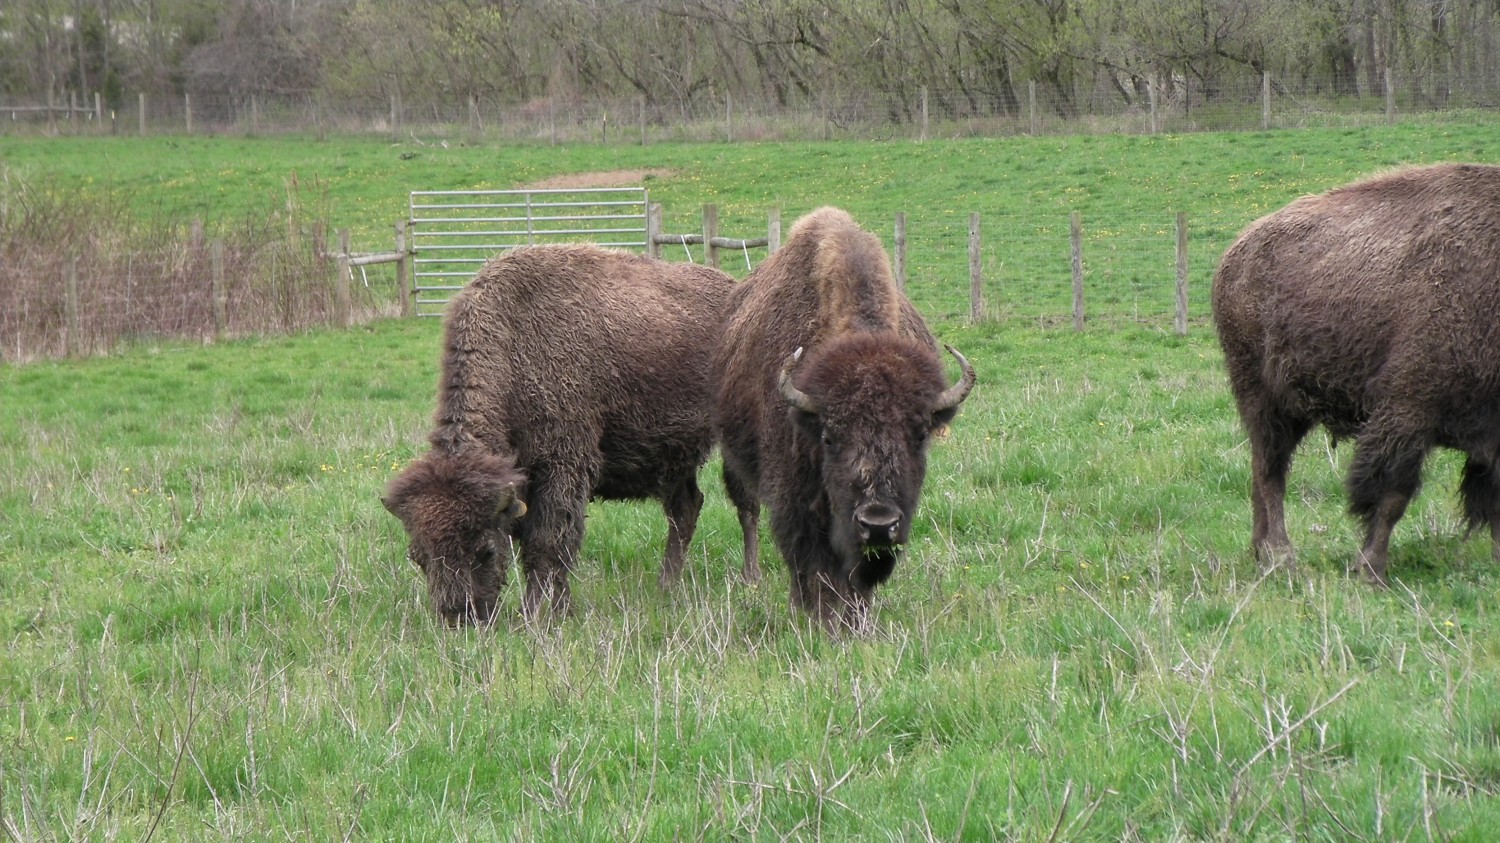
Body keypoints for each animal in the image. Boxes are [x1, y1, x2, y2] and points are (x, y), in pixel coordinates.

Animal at [381, 243, 756, 624]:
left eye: (485, 551)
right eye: (418, 557)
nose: (461, 618)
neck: (513, 343)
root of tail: (737, 289)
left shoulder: (562, 469)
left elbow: (547, 544)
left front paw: (535, 616)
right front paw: (560, 610)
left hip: (735, 440)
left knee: (745, 505)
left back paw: (749, 579)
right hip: (674, 455)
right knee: (685, 508)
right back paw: (666, 586)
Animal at [711, 207, 972, 627]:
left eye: (919, 435)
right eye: (829, 436)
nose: (878, 523)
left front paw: (856, 620)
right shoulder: (795, 500)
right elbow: (809, 563)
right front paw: (817, 618)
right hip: (735, 460)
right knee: (748, 511)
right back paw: (754, 579)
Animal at [1212, 160, 1500, 582]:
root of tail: (1235, 253)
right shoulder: (1407, 412)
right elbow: (1391, 496)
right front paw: (1370, 569)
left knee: (1259, 471)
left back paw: (1261, 553)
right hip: (1262, 398)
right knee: (1270, 472)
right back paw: (1282, 556)